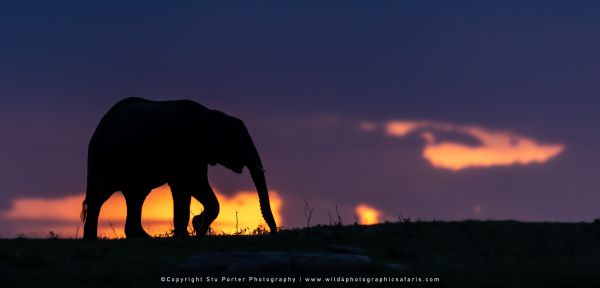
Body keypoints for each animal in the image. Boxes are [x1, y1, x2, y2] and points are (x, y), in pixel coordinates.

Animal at [81, 97, 278, 238]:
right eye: (241, 142)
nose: (273, 233)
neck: (211, 114)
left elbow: (182, 189)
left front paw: (187, 233)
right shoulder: (186, 146)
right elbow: (193, 183)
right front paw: (198, 227)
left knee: (134, 196)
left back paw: (140, 237)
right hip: (105, 159)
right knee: (101, 196)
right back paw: (94, 239)